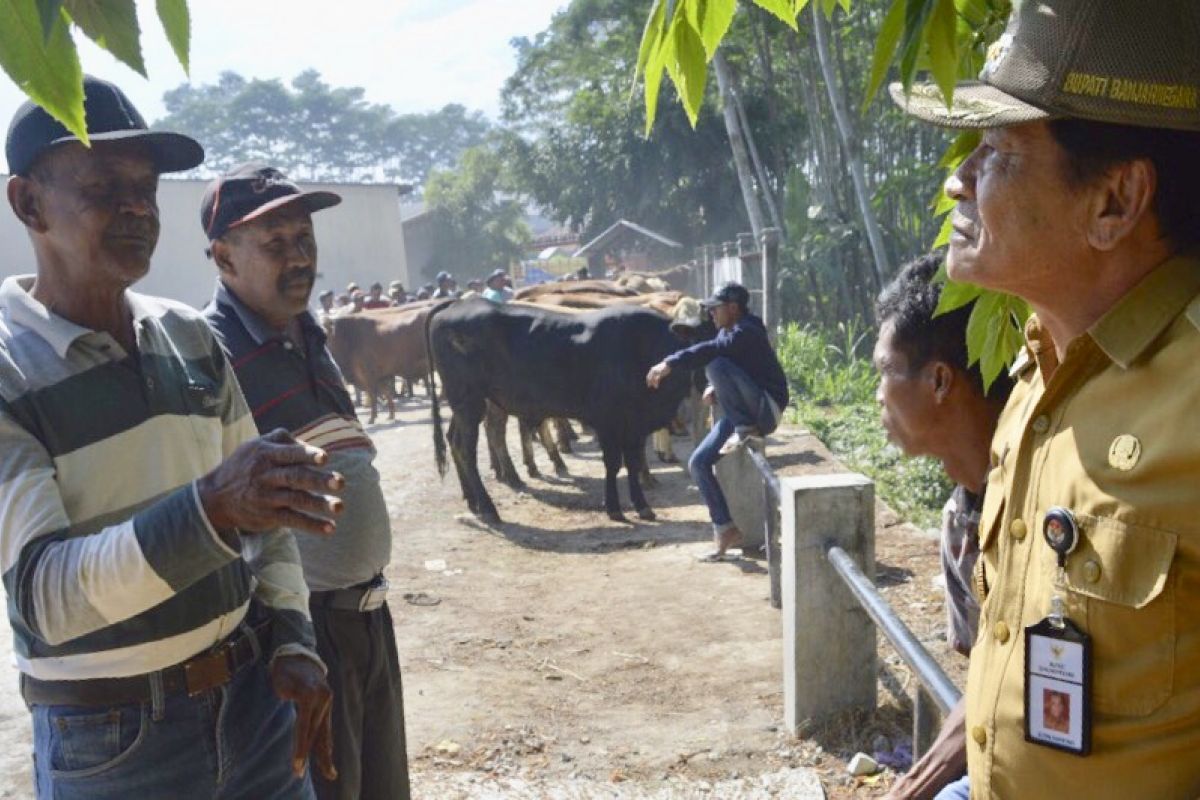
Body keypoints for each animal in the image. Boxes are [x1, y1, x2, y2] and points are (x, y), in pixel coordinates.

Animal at [429, 297, 696, 522]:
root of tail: (458, 303)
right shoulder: (609, 421)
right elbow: (613, 463)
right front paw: (614, 509)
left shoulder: (635, 425)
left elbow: (632, 461)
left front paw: (642, 506)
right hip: (469, 402)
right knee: (467, 449)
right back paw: (488, 507)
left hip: (467, 406)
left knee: (454, 440)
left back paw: (473, 500)